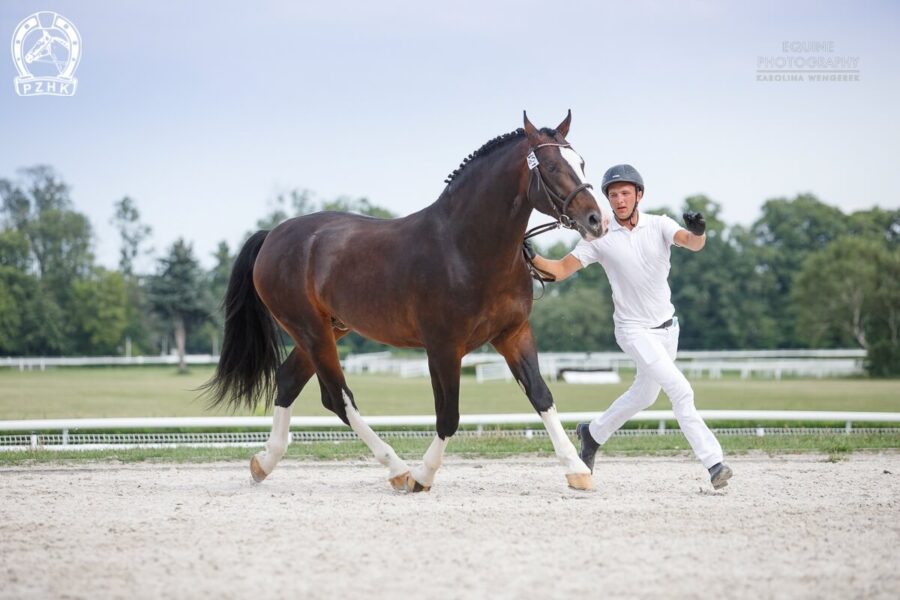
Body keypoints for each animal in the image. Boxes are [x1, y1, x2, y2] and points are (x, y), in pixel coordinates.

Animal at [205, 112, 612, 492]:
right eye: (552, 166)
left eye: (581, 162)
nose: (598, 220)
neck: (465, 248)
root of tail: (274, 234)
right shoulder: (443, 347)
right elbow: (448, 415)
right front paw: (422, 475)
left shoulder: (513, 335)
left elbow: (541, 395)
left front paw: (576, 470)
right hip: (310, 331)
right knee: (338, 397)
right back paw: (397, 469)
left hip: (328, 330)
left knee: (289, 379)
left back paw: (264, 462)